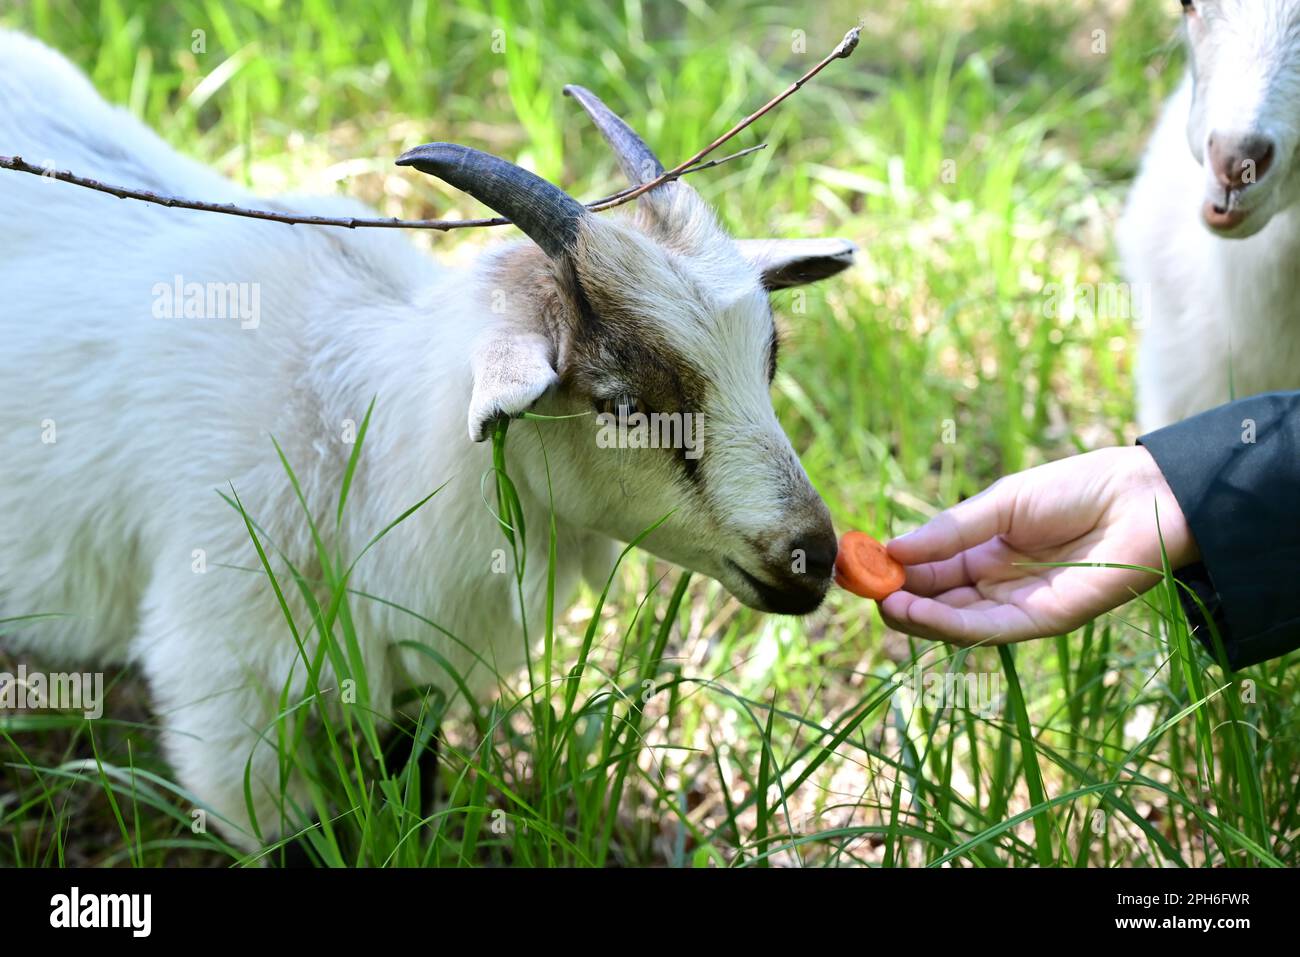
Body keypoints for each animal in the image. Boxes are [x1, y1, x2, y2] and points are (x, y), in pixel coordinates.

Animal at [0, 30, 855, 848]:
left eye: (767, 361)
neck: (350, 431)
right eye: (621, 403)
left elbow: (413, 781)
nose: (813, 557)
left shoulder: (414, 663)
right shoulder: (224, 699)